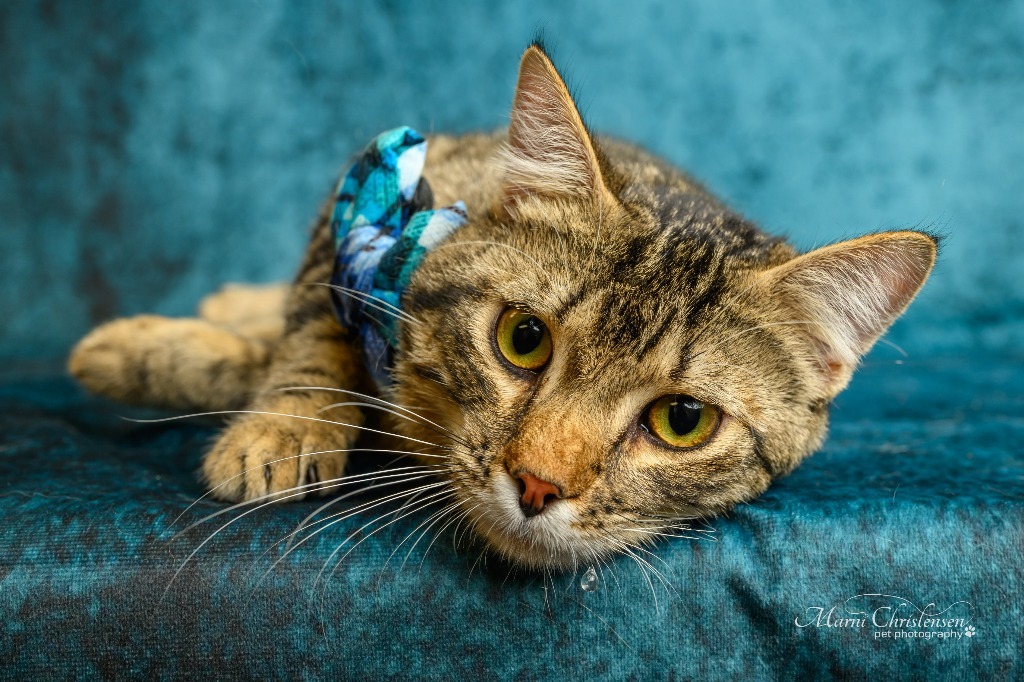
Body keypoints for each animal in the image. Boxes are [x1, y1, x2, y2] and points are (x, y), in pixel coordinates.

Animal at [70, 39, 937, 565]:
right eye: (524, 339)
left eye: (683, 420)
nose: (537, 486)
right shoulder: (369, 202)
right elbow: (315, 331)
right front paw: (279, 421)